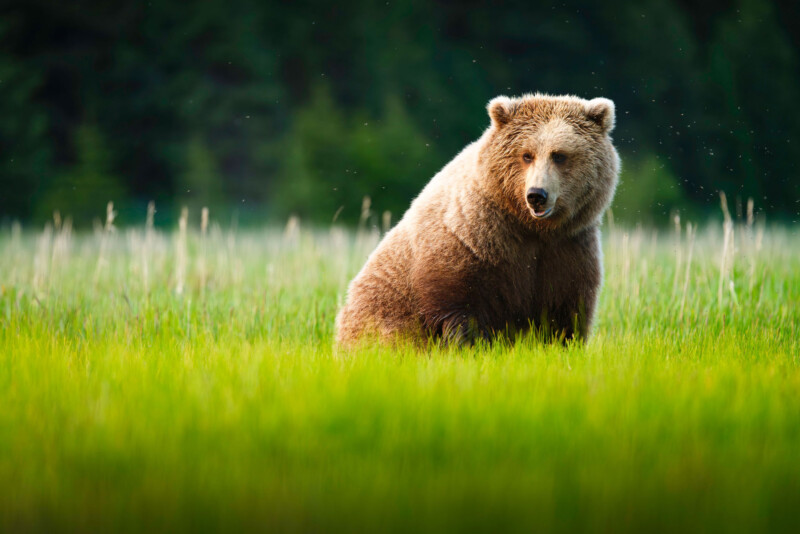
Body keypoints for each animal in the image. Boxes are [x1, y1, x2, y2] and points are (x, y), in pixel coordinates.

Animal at [335, 93, 620, 347]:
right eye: (527, 155)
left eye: (559, 155)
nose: (537, 195)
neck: (528, 226)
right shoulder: (472, 242)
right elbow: (459, 308)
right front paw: (471, 346)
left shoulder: (567, 249)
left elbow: (564, 314)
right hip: (379, 311)